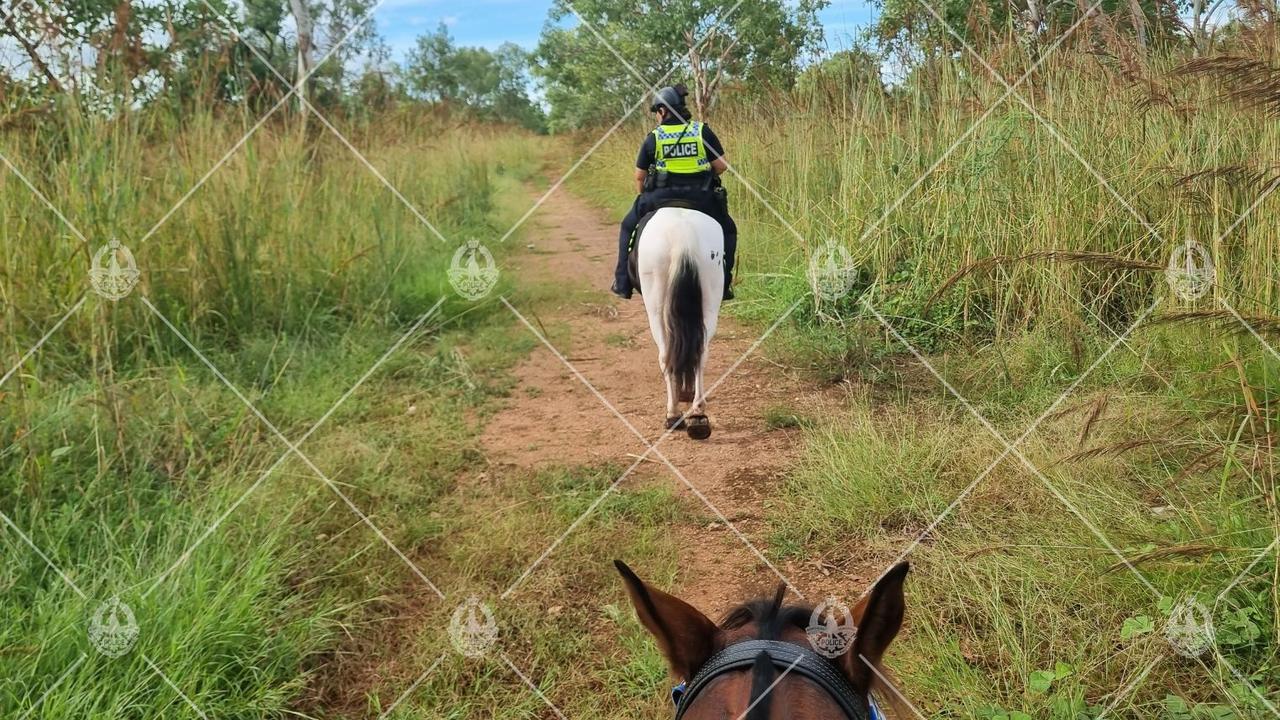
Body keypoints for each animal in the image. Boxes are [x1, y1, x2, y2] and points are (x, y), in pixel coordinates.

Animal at [637, 206, 727, 438]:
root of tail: (683, 236)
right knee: (700, 353)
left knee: (665, 355)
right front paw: (687, 390)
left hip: (655, 306)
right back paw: (698, 415)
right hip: (710, 300)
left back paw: (673, 414)